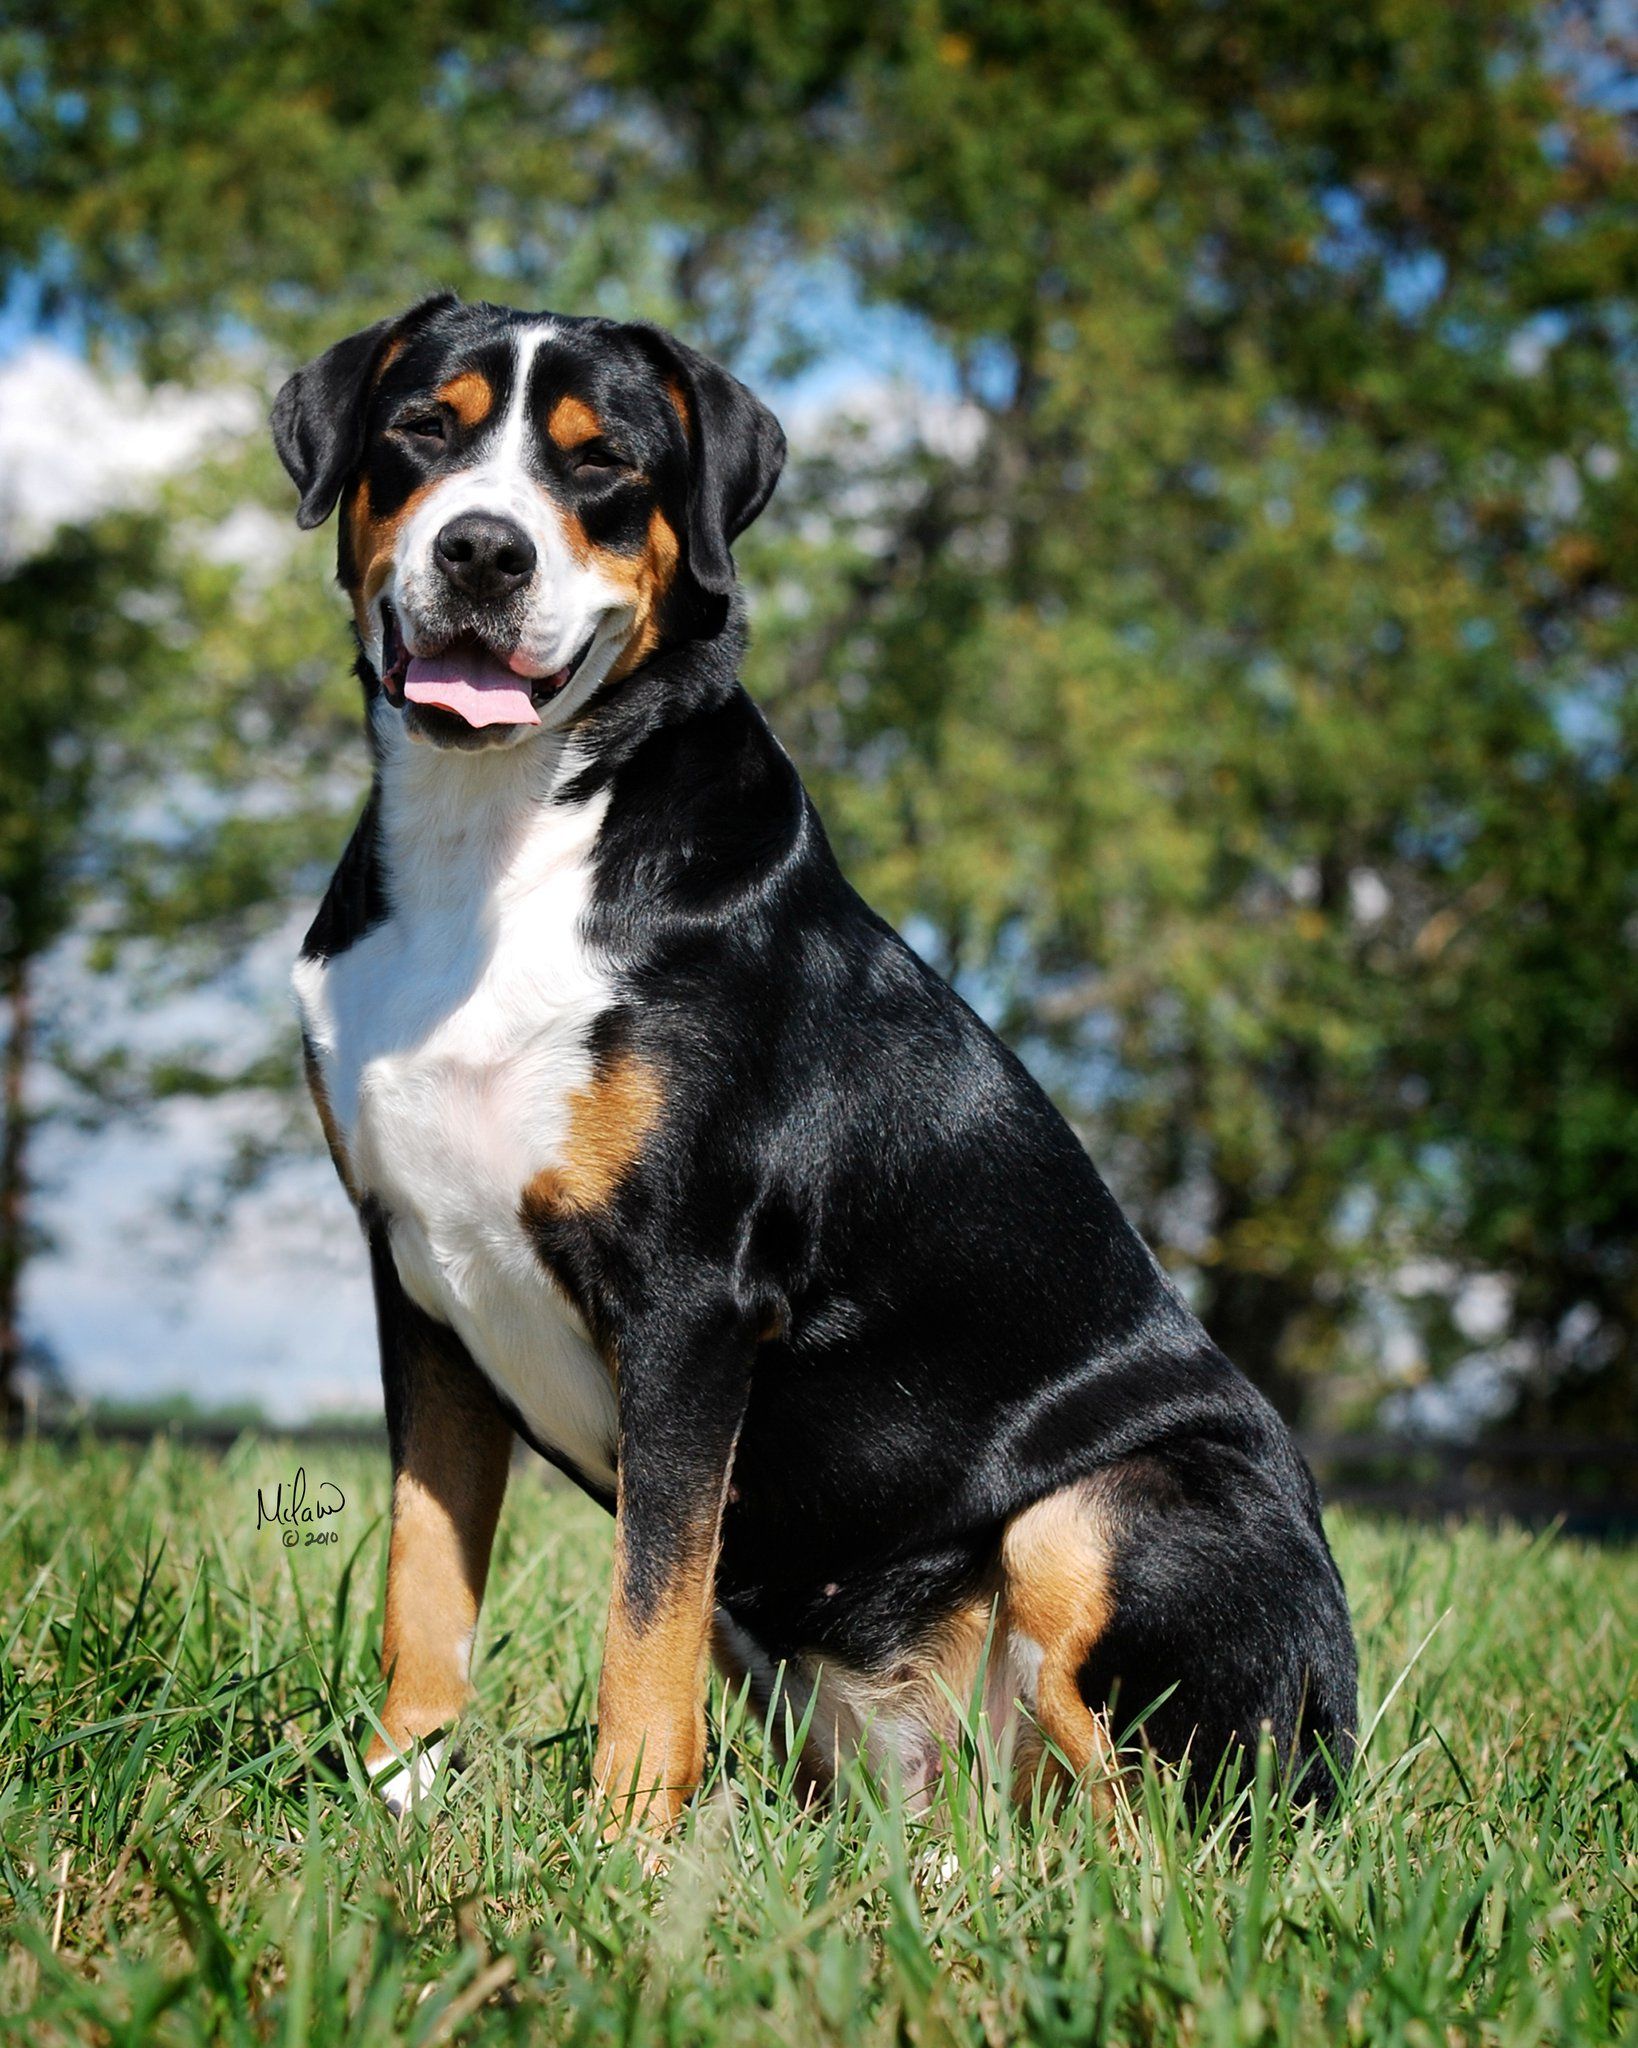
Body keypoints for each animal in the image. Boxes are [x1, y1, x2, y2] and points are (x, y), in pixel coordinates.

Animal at [272, 296, 1359, 1835]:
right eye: (424, 427)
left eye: (600, 466)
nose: (483, 549)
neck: (492, 842)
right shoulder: (419, 1288)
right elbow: (426, 1579)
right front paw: (398, 1792)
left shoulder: (692, 1296)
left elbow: (644, 1613)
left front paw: (620, 1840)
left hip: (1109, 1512)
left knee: (1157, 1828)